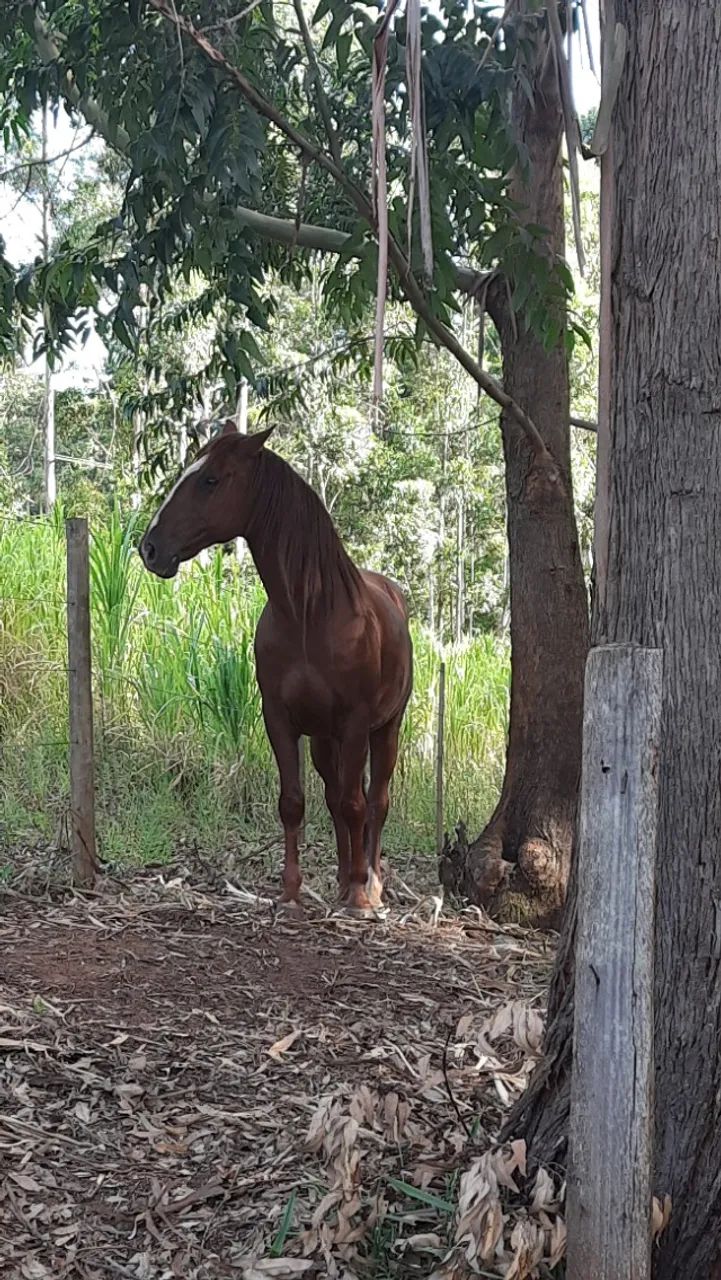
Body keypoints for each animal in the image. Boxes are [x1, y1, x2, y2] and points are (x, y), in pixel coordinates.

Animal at [139, 421, 413, 917]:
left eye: (211, 480)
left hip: (386, 729)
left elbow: (357, 805)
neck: (309, 613)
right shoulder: (280, 719)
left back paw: (370, 883)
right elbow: (295, 803)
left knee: (375, 801)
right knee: (335, 798)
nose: (149, 547)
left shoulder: (356, 724)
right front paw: (290, 892)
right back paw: (342, 880)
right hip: (325, 740)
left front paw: (360, 895)